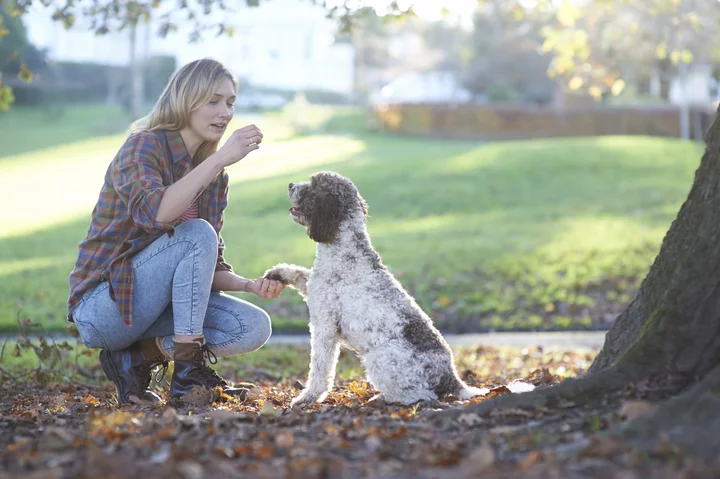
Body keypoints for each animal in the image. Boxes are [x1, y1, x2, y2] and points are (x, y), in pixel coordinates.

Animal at [264, 172, 484, 408]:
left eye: (313, 185)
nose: (290, 184)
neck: (344, 247)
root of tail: (451, 379)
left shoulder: (325, 324)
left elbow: (320, 368)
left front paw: (308, 397)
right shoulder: (314, 288)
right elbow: (299, 274)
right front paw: (277, 273)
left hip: (380, 360)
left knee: (421, 395)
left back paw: (382, 398)